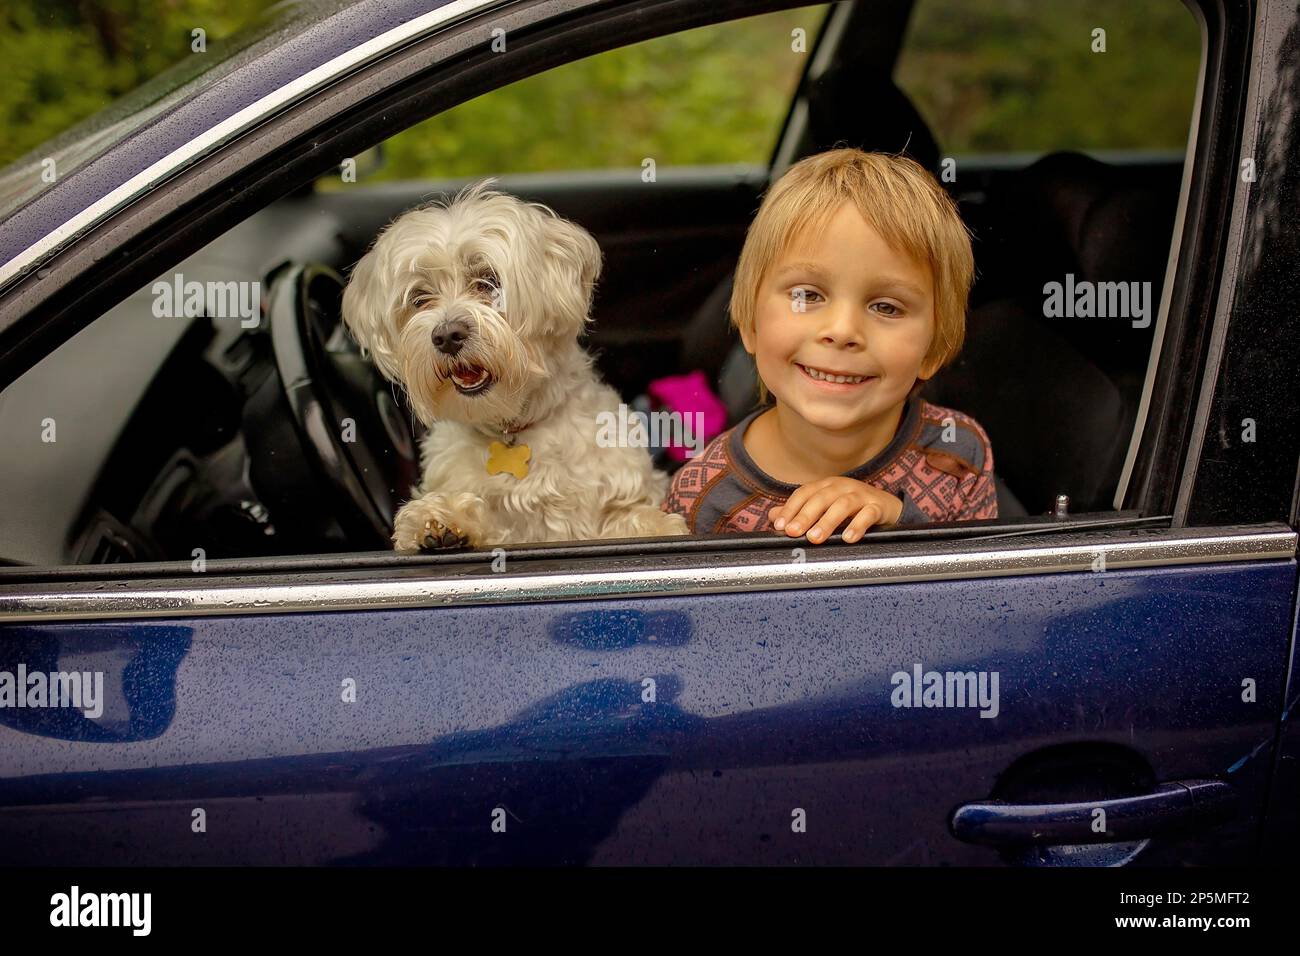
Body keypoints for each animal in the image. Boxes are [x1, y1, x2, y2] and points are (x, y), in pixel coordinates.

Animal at [345, 182, 691, 548]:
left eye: (487, 280)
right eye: (420, 298)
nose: (447, 335)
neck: (512, 427)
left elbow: (631, 515)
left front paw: (660, 527)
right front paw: (445, 521)